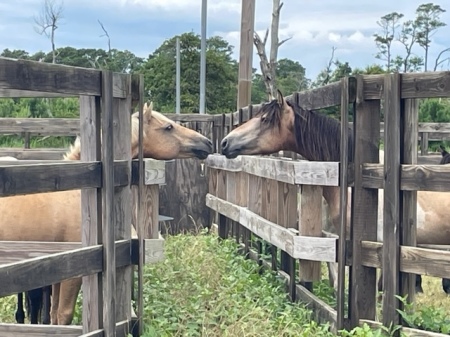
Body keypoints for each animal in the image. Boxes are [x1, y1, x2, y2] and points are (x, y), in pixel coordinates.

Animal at [0, 101, 214, 322]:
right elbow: (63, 314)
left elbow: (53, 315)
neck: (82, 191)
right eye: (168, 127)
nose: (207, 143)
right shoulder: (73, 271)